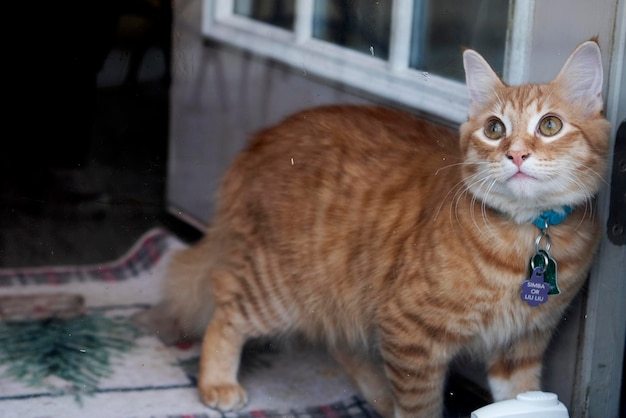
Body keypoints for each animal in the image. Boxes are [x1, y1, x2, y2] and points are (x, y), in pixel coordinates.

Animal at [161, 40, 608, 418]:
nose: (516, 154)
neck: (526, 237)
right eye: (495, 129)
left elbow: (520, 396)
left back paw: (377, 397)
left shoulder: (522, 346)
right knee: (225, 308)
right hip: (279, 288)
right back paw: (216, 382)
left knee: (338, 340)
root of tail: (264, 136)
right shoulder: (410, 333)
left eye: (549, 126)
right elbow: (420, 407)